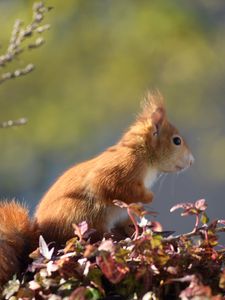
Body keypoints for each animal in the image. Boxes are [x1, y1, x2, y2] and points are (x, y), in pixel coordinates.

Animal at [0, 91, 193, 286]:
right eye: (177, 141)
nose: (191, 161)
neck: (141, 152)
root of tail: (40, 238)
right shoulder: (122, 167)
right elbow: (110, 186)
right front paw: (148, 197)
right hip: (86, 219)